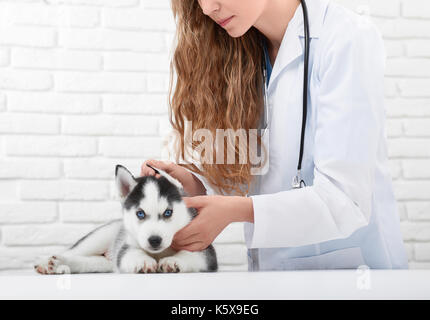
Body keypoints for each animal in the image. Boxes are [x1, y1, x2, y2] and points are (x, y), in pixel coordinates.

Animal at [34, 164, 218, 274]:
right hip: (99, 237)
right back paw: (49, 263)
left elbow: (190, 254)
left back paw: (60, 266)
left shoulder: (205, 249)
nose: (154, 240)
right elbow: (131, 252)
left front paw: (174, 260)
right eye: (140, 214)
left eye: (168, 212)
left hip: (106, 262)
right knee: (73, 252)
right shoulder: (126, 247)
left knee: (89, 262)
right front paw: (143, 261)